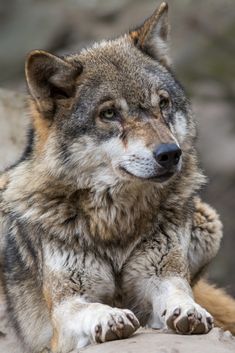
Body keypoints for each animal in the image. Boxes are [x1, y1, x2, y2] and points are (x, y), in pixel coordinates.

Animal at [0, 2, 235, 352]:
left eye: (163, 103)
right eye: (109, 113)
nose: (170, 153)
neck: (116, 223)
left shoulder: (160, 277)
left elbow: (178, 292)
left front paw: (188, 310)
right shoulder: (65, 308)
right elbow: (91, 308)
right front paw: (109, 317)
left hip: (209, 220)